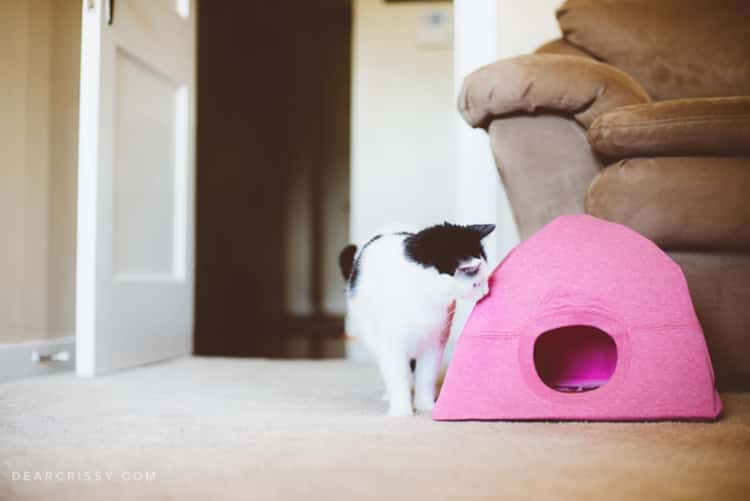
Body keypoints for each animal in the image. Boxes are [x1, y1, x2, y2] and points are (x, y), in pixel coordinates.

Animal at [340, 222, 494, 414]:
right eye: (476, 284)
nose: (486, 292)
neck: (424, 296)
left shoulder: (435, 341)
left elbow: (426, 376)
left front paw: (426, 406)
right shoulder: (391, 343)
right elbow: (397, 376)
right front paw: (401, 411)